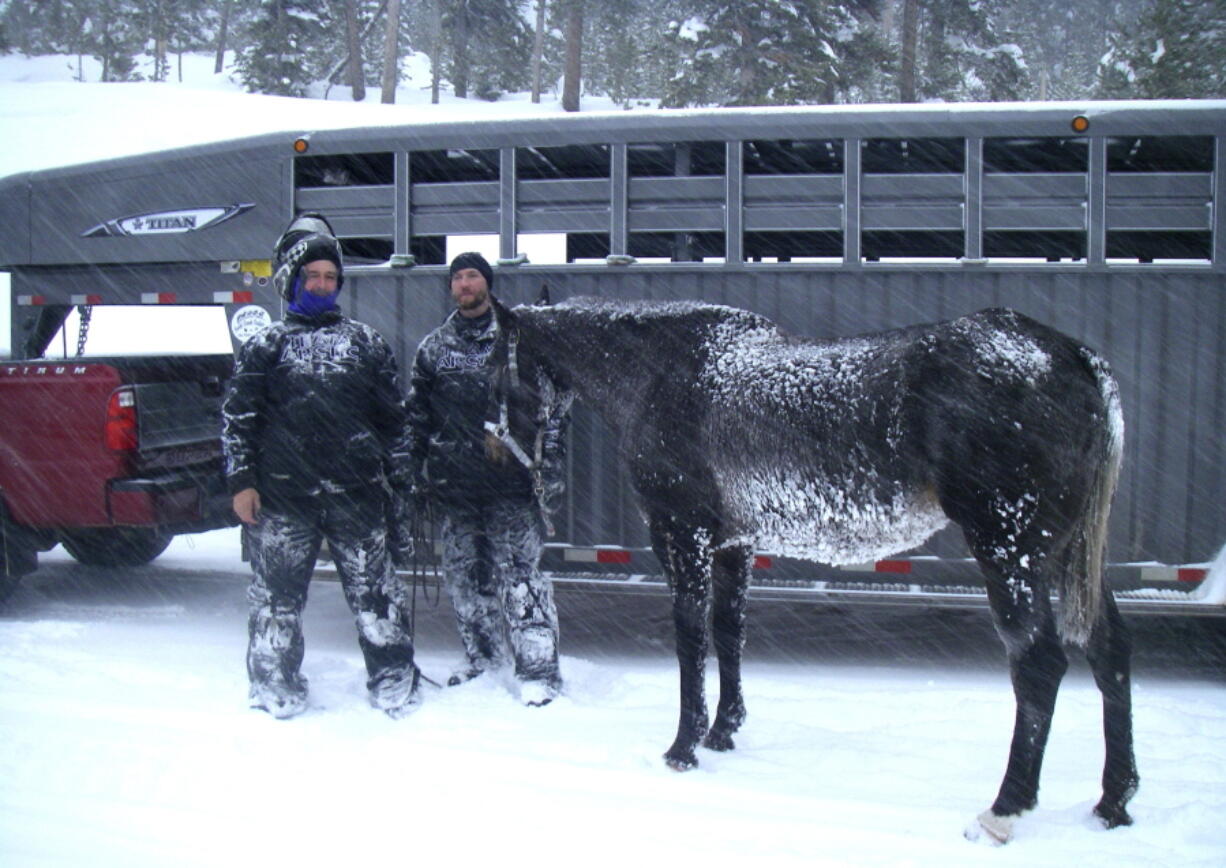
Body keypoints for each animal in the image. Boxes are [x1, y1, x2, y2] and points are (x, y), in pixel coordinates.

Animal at [483, 295, 1132, 843]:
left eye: (491, 366)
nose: (496, 451)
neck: (660, 374)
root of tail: (1072, 357)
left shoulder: (683, 537)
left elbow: (691, 639)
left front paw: (683, 747)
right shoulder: (734, 545)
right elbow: (729, 633)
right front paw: (724, 731)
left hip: (1011, 551)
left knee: (1039, 665)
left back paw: (1004, 811)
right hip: (1066, 553)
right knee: (1109, 650)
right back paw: (1113, 802)